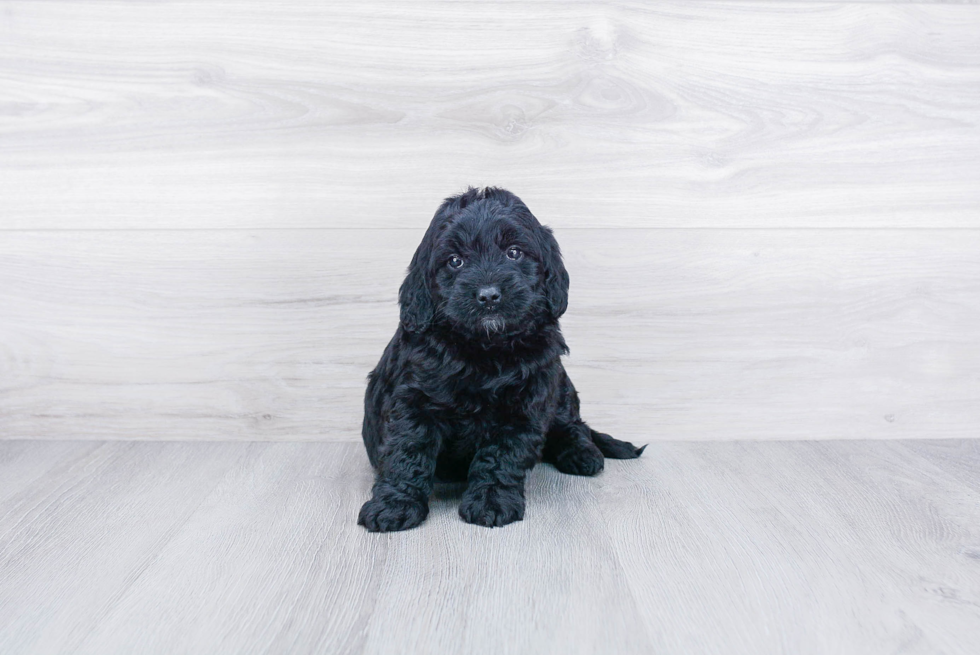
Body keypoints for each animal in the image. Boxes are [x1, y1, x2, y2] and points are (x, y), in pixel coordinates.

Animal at [360, 186, 644, 532]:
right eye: (455, 261)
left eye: (513, 253)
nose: (489, 295)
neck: (484, 349)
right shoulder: (413, 401)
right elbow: (407, 450)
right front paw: (394, 504)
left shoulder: (527, 401)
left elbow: (502, 455)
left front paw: (492, 501)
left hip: (560, 385)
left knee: (573, 425)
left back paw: (582, 453)